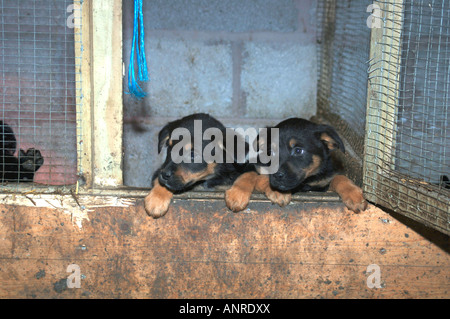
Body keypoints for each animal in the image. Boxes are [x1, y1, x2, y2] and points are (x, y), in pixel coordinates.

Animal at [227, 119, 368, 214]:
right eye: (270, 152)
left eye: (298, 151)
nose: (277, 175)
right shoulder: (254, 165)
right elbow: (250, 175)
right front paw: (237, 194)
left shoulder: (321, 185)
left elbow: (339, 178)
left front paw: (354, 195)